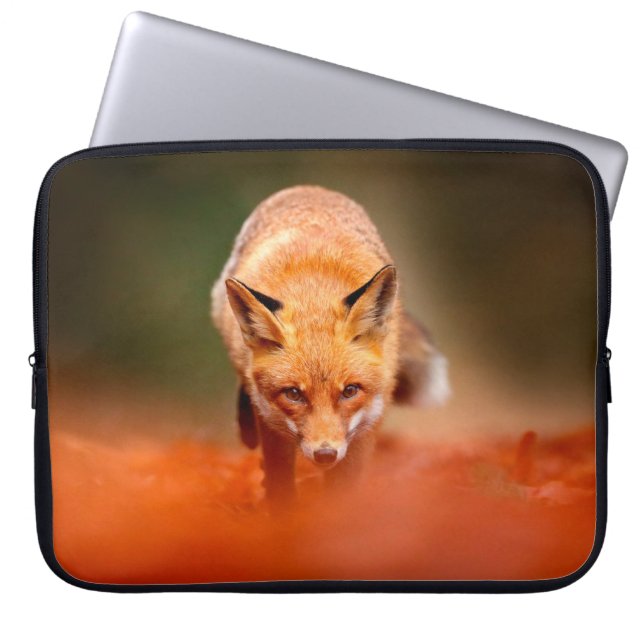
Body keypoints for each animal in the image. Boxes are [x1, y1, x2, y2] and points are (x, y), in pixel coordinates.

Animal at [211, 186, 450, 508]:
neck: (314, 294)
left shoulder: (366, 425)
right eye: (294, 394)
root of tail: (311, 188)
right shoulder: (273, 423)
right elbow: (279, 481)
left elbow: (343, 490)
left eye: (350, 391)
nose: (325, 454)